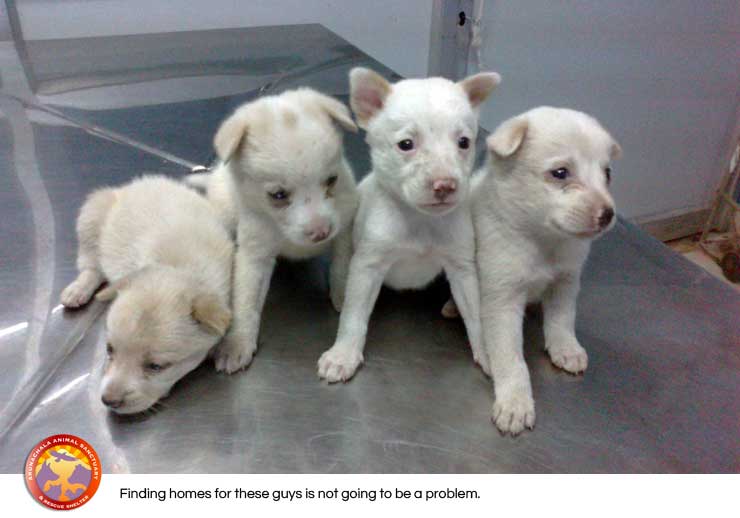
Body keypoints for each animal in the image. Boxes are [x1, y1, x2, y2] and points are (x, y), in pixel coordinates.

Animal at [60, 175, 234, 414]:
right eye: (109, 349)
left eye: (156, 366)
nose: (109, 401)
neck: (177, 266)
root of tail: (134, 185)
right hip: (91, 217)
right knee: (91, 266)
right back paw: (77, 291)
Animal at [190, 88, 359, 374]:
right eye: (278, 195)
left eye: (332, 180)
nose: (321, 233)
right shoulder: (254, 255)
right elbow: (246, 301)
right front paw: (237, 343)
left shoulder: (344, 229)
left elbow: (340, 267)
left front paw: (343, 295)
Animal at [317, 67, 501, 382]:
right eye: (406, 145)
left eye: (464, 142)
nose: (445, 185)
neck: (421, 221)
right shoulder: (367, 266)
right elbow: (354, 315)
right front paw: (343, 354)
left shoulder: (462, 268)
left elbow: (477, 313)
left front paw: (489, 354)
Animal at [473, 107, 621, 434]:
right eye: (561, 173)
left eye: (607, 174)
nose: (607, 215)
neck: (544, 243)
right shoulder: (502, 300)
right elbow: (511, 358)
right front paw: (515, 402)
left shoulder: (566, 283)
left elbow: (562, 320)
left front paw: (566, 348)